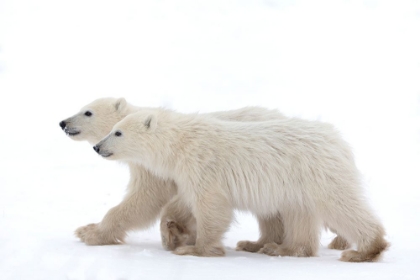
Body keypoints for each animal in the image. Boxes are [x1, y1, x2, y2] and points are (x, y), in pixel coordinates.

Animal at [93, 108, 388, 262]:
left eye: (117, 131)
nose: (97, 147)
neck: (180, 142)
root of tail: (338, 140)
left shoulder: (202, 164)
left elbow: (211, 206)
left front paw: (195, 249)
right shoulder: (184, 173)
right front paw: (175, 234)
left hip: (317, 174)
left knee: (341, 205)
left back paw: (364, 250)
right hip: (295, 185)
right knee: (298, 215)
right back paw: (277, 247)